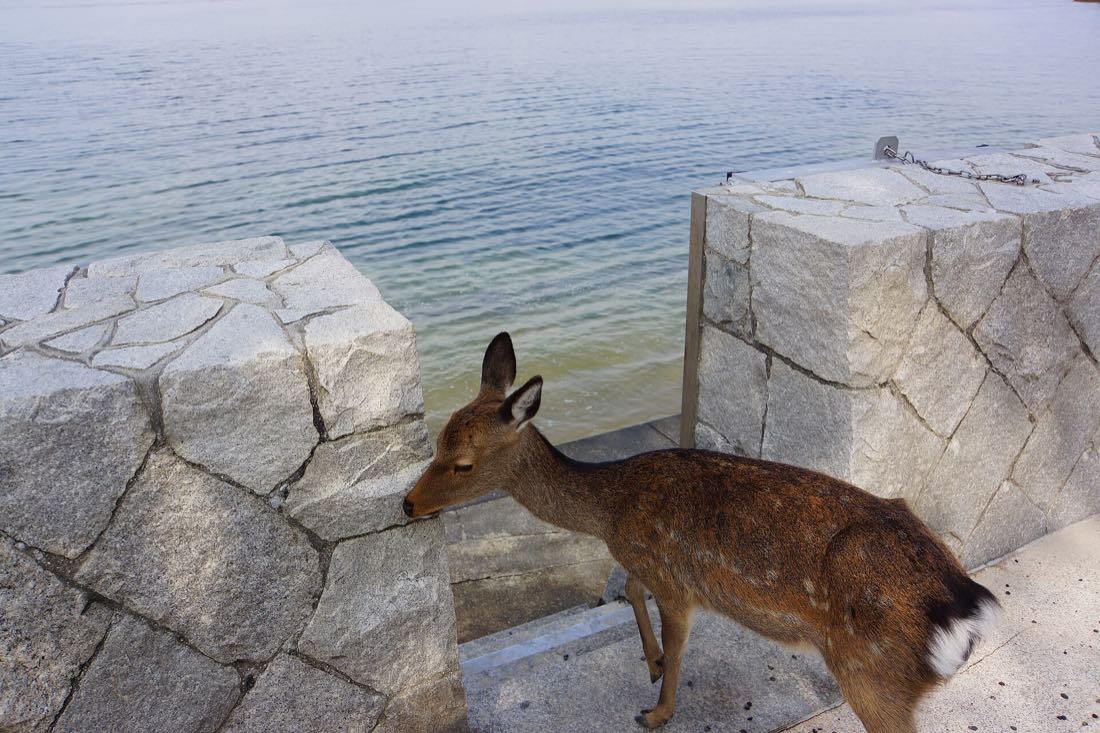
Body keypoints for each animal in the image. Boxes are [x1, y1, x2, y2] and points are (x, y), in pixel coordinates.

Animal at [403, 333, 999, 733]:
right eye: (436, 442)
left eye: (461, 463)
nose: (408, 504)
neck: (612, 509)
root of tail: (966, 609)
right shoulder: (650, 567)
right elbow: (630, 588)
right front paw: (651, 663)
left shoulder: (678, 582)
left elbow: (674, 640)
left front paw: (656, 711)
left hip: (873, 674)